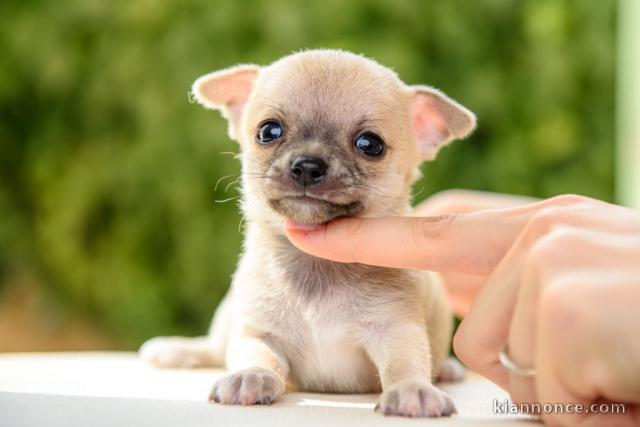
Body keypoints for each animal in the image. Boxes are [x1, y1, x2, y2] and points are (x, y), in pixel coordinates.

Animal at [142, 49, 478, 418]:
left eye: (370, 144)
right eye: (268, 131)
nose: (307, 165)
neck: (317, 266)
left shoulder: (395, 328)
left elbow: (403, 363)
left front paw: (412, 389)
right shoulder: (257, 331)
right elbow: (257, 355)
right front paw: (250, 375)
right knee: (217, 346)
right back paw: (179, 350)